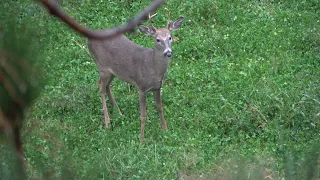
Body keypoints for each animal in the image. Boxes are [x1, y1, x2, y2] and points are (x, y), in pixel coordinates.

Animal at [87, 10, 182, 141]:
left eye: (170, 37)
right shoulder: (141, 87)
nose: (168, 53)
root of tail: (89, 40)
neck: (153, 68)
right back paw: (107, 122)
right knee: (100, 86)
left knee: (107, 86)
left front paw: (165, 130)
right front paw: (141, 139)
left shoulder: (157, 87)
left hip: (114, 71)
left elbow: (160, 108)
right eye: (157, 39)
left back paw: (119, 113)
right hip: (102, 67)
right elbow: (143, 115)